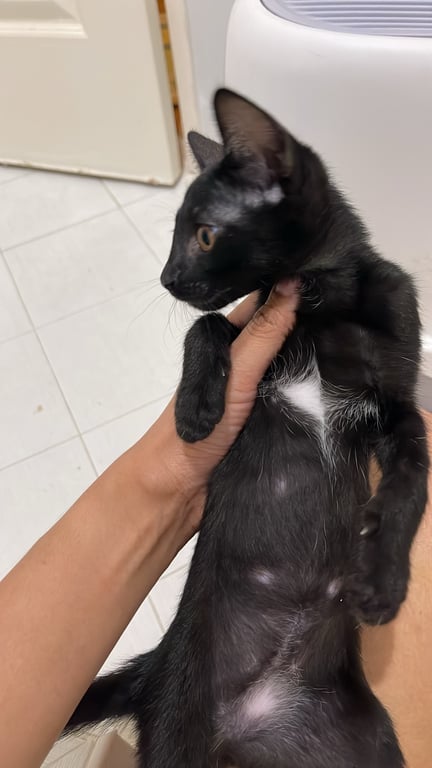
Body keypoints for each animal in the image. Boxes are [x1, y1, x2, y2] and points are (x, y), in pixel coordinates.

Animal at [65, 89, 428, 767]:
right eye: (176, 235)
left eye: (205, 235)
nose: (166, 279)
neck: (321, 307)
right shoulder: (254, 335)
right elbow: (206, 325)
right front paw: (196, 408)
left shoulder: (399, 406)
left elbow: (410, 487)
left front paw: (382, 578)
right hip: (179, 731)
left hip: (367, 740)